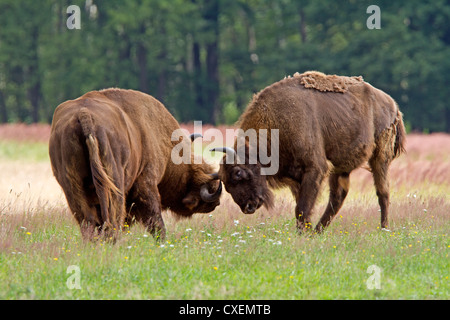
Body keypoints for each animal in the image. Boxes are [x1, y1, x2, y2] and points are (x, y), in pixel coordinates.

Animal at [48, 87, 221, 240]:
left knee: (88, 223)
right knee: (113, 221)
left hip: (73, 188)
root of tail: (85, 115)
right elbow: (155, 222)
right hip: (115, 183)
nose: (216, 201)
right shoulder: (147, 182)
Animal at [213, 72, 406, 232]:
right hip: (341, 167)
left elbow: (302, 207)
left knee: (382, 192)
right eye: (226, 185)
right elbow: (301, 206)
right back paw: (318, 231)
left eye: (238, 173)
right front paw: (306, 231)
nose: (248, 207)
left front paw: (302, 233)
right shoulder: (297, 177)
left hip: (380, 157)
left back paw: (384, 228)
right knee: (338, 196)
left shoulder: (315, 169)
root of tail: (393, 105)